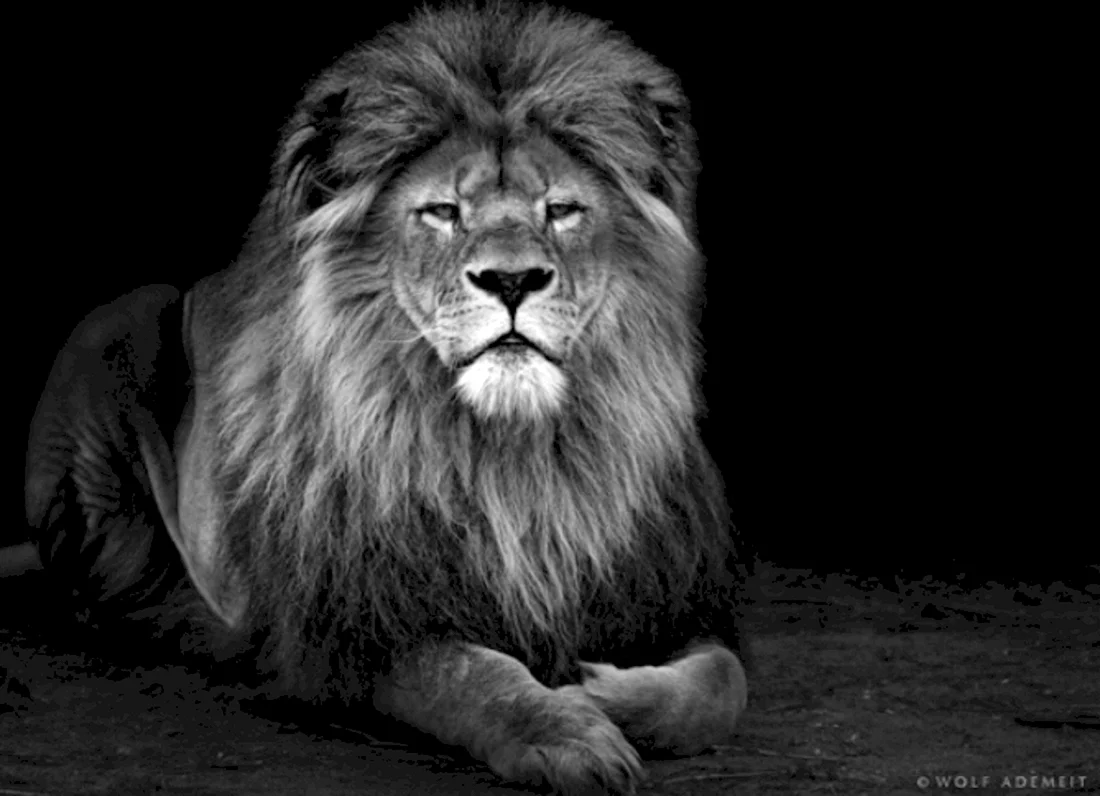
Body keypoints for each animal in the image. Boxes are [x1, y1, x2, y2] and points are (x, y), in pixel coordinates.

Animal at [19, 4, 749, 793]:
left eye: (561, 209)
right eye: (441, 212)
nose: (513, 280)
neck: (512, 452)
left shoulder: (671, 595)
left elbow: (719, 685)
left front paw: (600, 690)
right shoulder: (356, 635)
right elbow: (475, 678)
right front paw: (567, 732)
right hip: (114, 325)